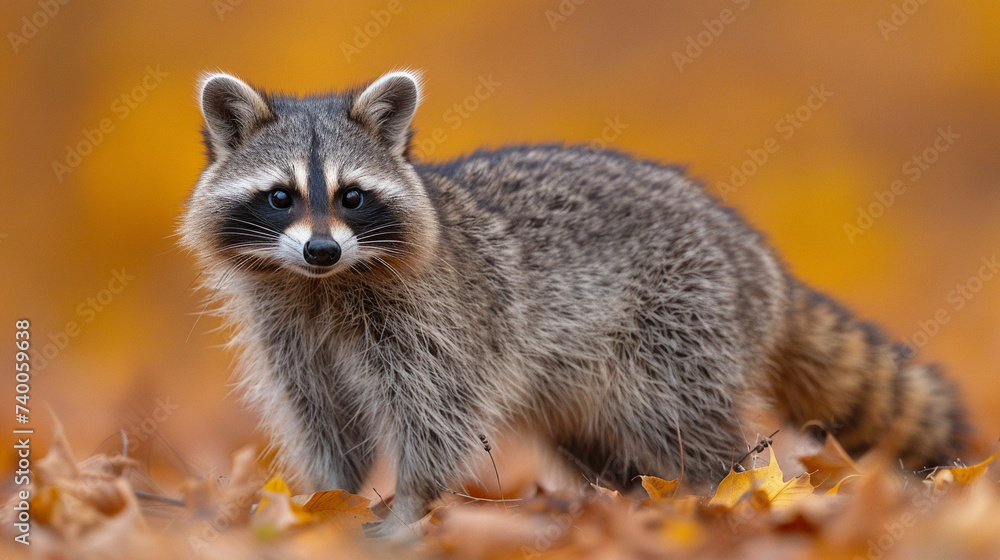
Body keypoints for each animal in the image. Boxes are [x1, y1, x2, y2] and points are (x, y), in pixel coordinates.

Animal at [179, 70, 966, 532]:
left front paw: (409, 504)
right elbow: (324, 418)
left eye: (350, 196)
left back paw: (717, 490)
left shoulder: (432, 318)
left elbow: (436, 413)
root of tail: (755, 255)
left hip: (681, 316)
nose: (321, 249)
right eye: (280, 197)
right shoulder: (289, 330)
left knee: (679, 416)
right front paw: (325, 500)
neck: (322, 288)